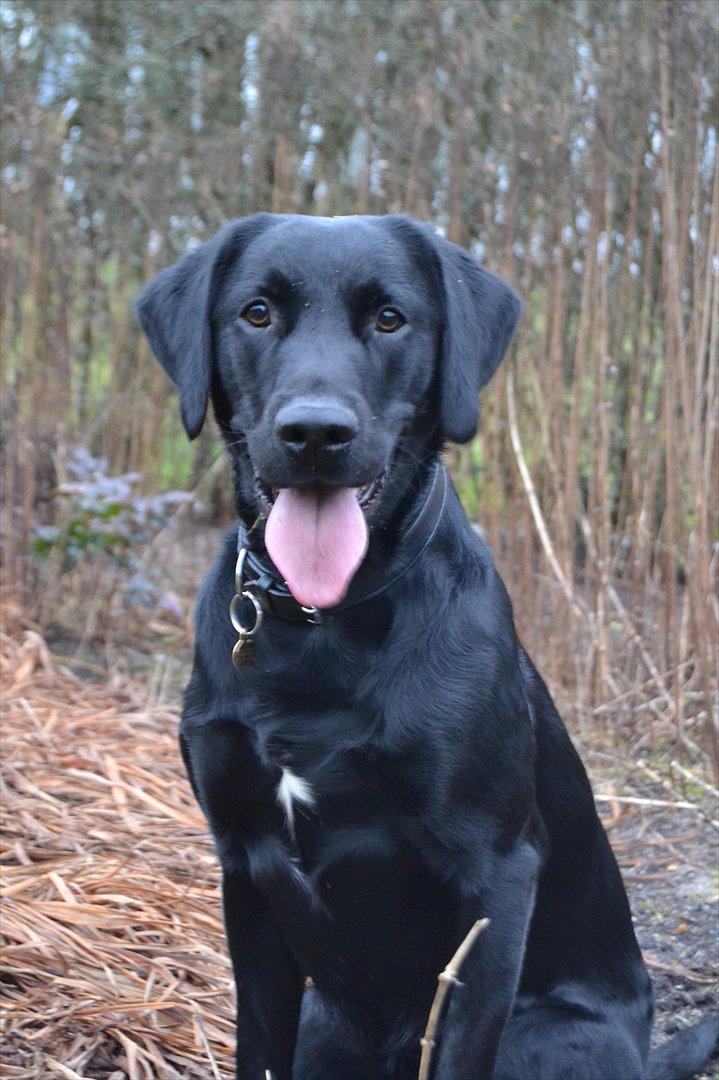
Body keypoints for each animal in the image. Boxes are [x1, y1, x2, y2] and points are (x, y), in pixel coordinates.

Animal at [137, 212, 712, 1080]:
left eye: (389, 319)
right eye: (256, 313)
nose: (314, 433)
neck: (323, 623)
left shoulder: (495, 879)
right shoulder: (244, 868)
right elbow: (257, 1046)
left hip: (541, 1035)